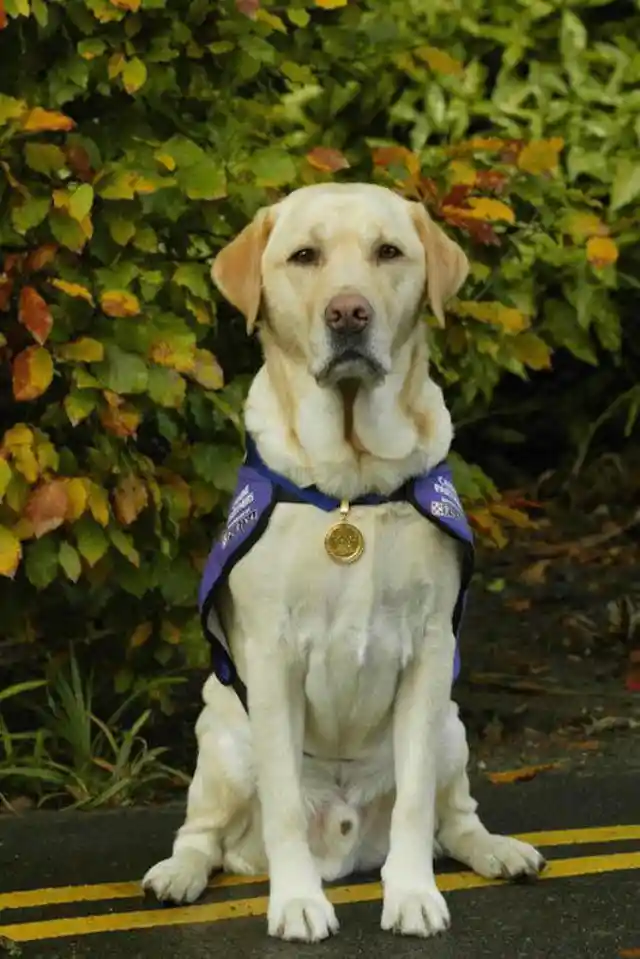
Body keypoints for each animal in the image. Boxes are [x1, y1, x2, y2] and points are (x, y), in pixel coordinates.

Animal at [145, 184, 544, 940]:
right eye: (305, 256)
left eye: (389, 251)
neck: (351, 488)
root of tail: (347, 841)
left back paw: (499, 852)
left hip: (452, 727)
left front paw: (412, 894)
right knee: (201, 833)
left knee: (455, 817)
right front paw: (297, 901)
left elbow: (417, 803)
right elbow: (281, 808)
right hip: (221, 737)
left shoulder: (429, 650)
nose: (349, 312)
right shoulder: (271, 657)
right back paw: (177, 875)